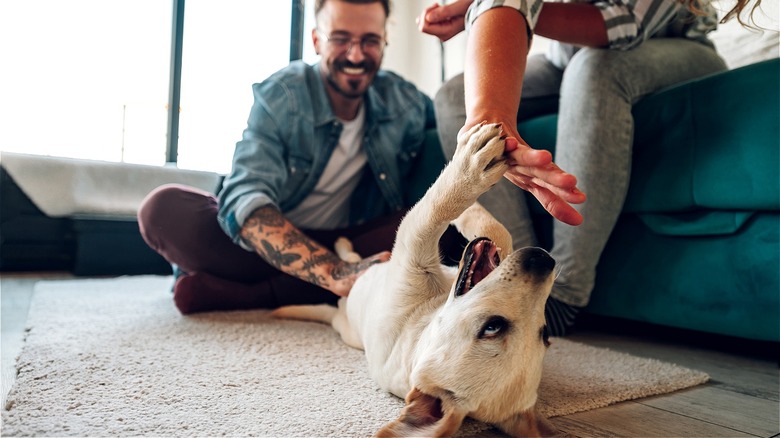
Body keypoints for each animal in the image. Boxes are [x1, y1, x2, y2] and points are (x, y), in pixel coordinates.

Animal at [274, 123, 560, 438]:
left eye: (491, 327)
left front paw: (470, 167)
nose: (544, 259)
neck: (426, 317)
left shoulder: (412, 249)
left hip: (346, 326)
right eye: (547, 334)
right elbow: (496, 232)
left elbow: (434, 208)